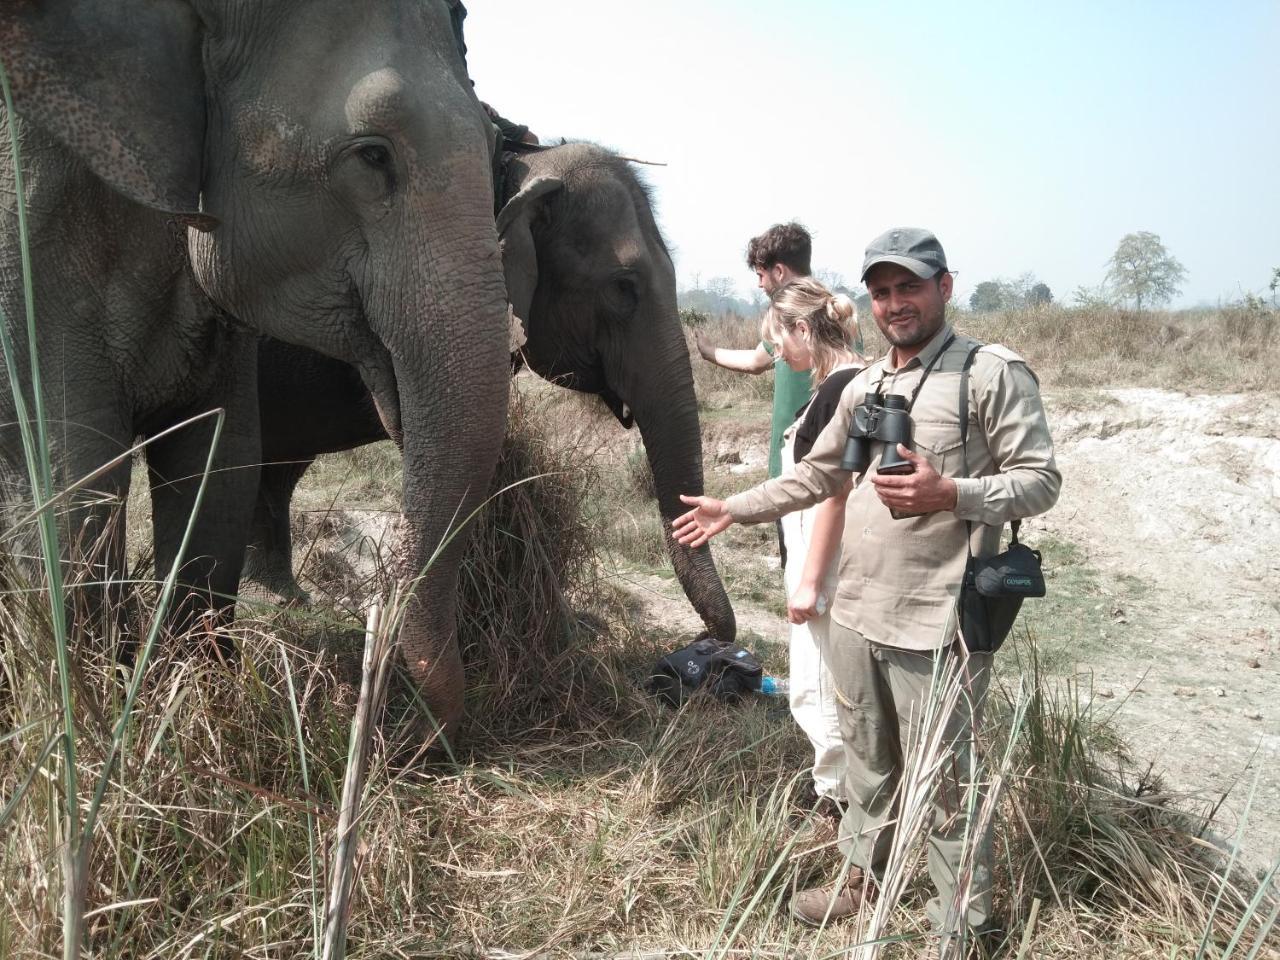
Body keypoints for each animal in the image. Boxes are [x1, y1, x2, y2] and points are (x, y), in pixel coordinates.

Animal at [0, 0, 509, 737]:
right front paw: (91, 724)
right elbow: (72, 472)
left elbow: (220, 466)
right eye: (374, 155)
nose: (408, 719)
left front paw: (190, 702)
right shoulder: (27, 225)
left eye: (494, 142)